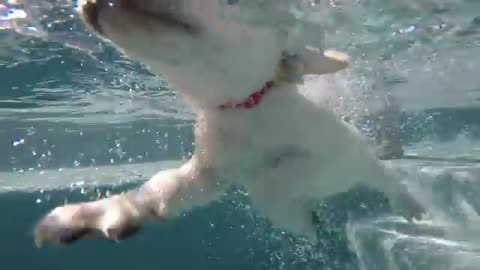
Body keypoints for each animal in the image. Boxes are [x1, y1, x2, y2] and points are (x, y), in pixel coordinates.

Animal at [34, 0, 424, 247]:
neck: (246, 109)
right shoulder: (213, 164)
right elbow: (167, 187)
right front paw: (87, 216)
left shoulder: (335, 152)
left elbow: (276, 179)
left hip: (365, 160)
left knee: (384, 177)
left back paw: (407, 203)